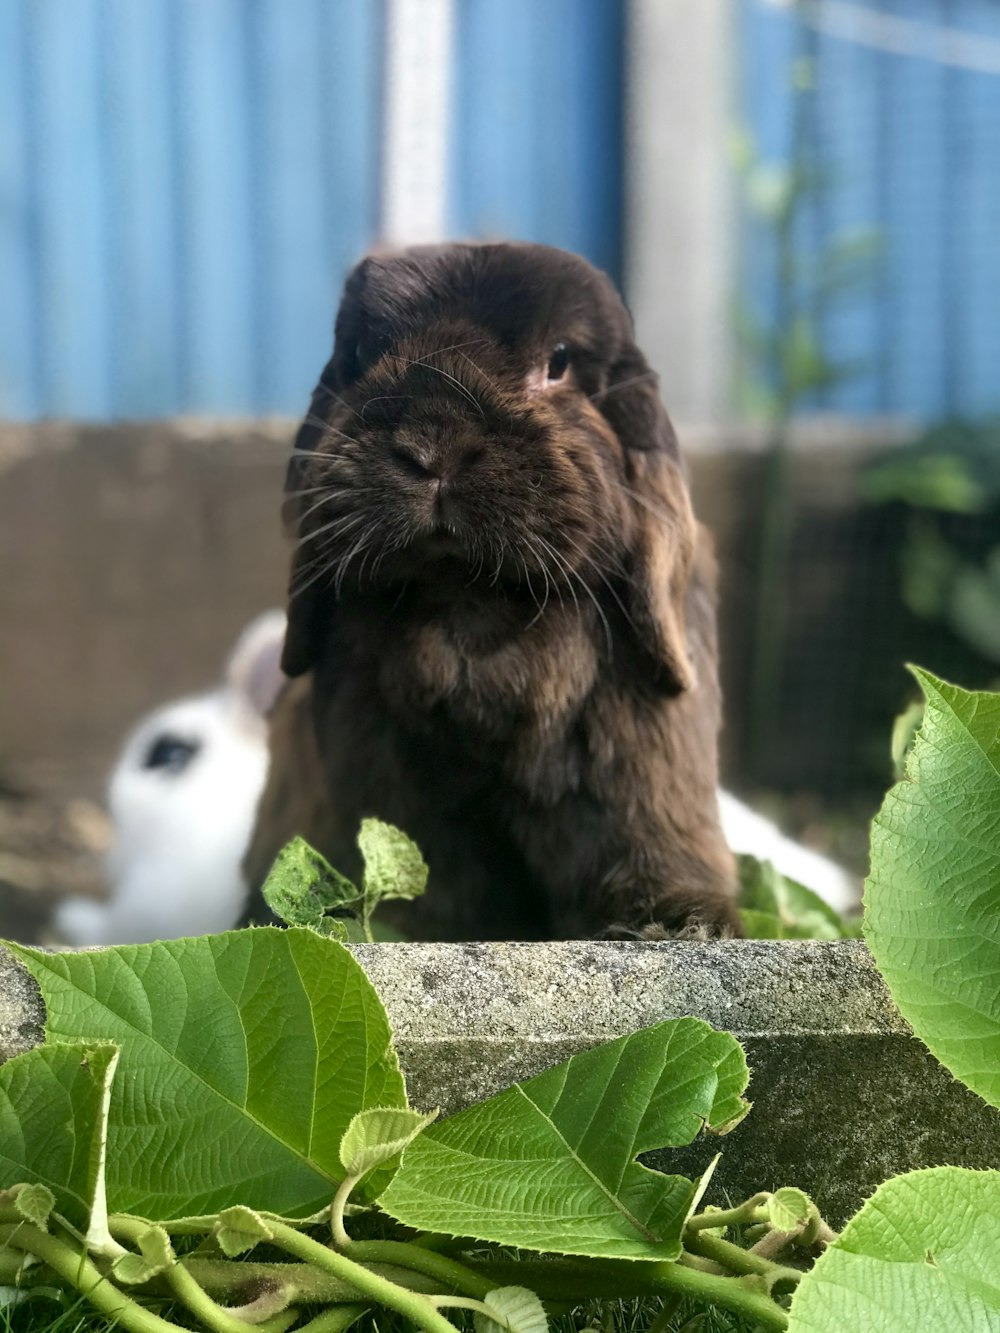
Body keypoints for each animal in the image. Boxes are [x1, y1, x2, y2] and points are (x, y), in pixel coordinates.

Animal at [245, 245, 741, 943]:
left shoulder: (639, 765)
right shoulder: (397, 794)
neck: (472, 607)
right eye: (363, 356)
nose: (433, 444)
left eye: (558, 361)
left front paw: (679, 924)